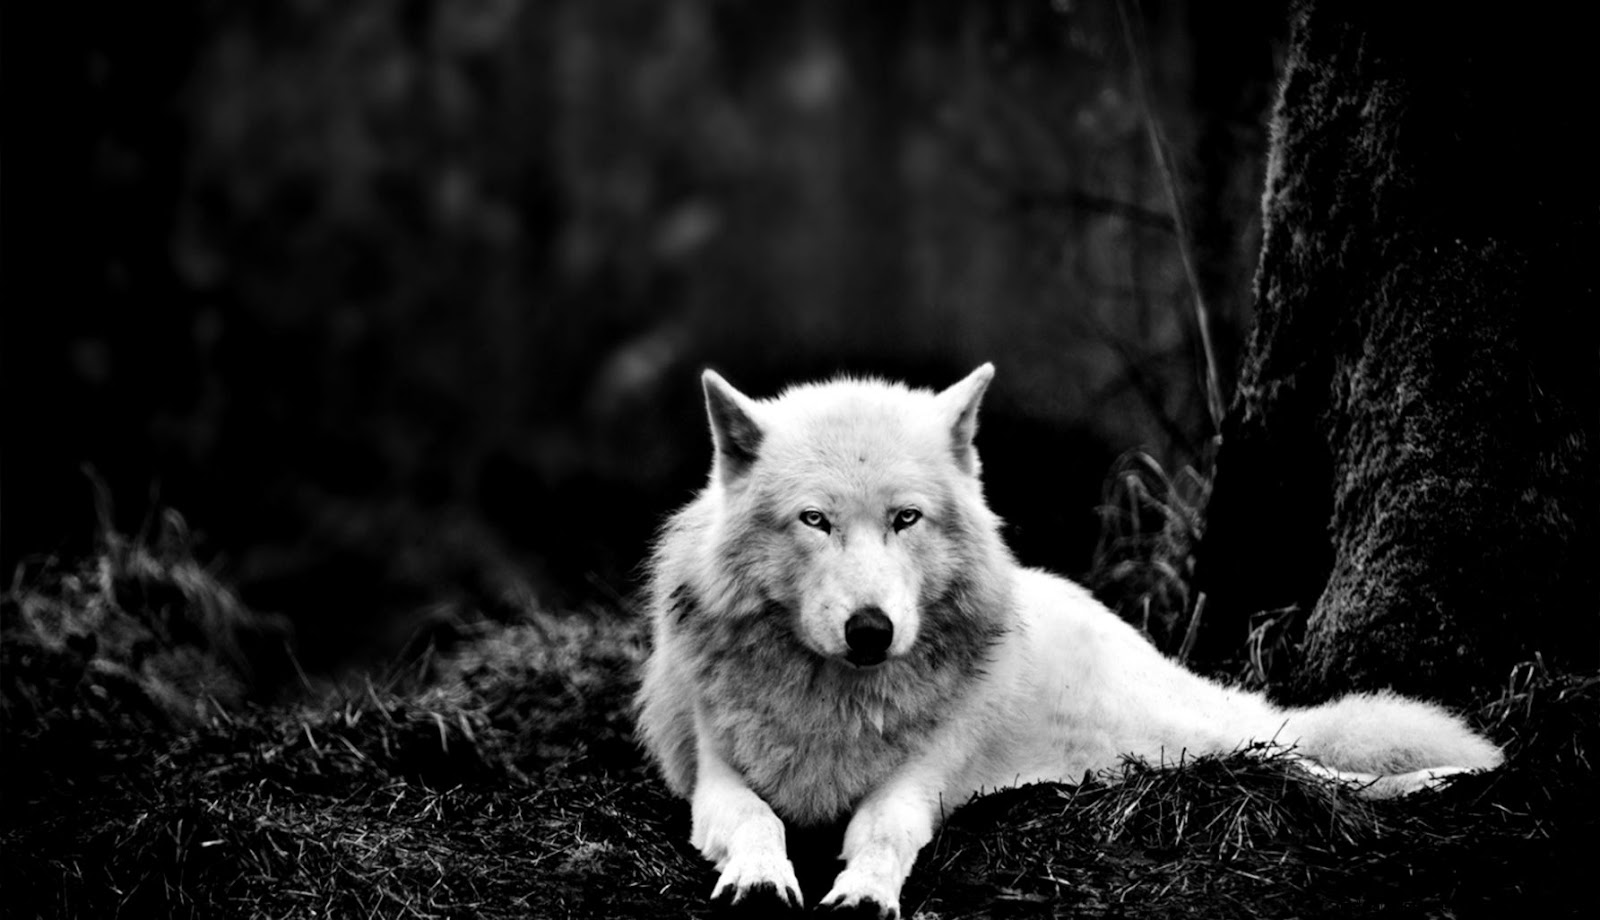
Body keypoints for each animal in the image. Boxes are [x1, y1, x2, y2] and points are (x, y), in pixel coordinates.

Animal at [636, 364, 1502, 918]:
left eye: (906, 518)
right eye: (814, 520)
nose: (871, 630)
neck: (836, 703)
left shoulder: (919, 781)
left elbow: (880, 831)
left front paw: (862, 895)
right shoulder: (713, 778)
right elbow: (758, 821)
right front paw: (759, 880)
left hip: (1188, 738)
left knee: (1303, 757)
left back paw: (1445, 779)